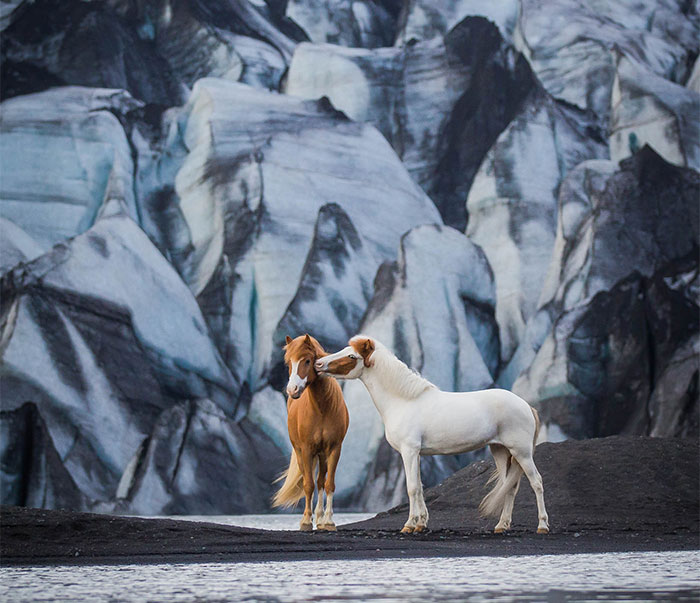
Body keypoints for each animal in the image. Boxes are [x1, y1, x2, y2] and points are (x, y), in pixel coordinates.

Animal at [272, 334, 349, 531]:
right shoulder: (307, 450)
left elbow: (329, 484)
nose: (292, 390)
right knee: (311, 481)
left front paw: (328, 521)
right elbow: (308, 485)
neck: (322, 408)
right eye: (288, 362)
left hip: (322, 455)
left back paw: (320, 519)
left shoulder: (334, 449)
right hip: (301, 453)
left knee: (321, 481)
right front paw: (306, 521)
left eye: (307, 360)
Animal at [315, 334, 549, 535]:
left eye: (351, 356)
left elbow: (411, 488)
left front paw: (409, 525)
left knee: (537, 482)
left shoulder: (409, 451)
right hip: (500, 451)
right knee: (510, 486)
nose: (318, 364)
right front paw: (421, 524)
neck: (403, 401)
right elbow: (419, 487)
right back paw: (501, 525)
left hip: (521, 452)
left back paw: (542, 526)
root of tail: (527, 406)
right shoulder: (416, 453)